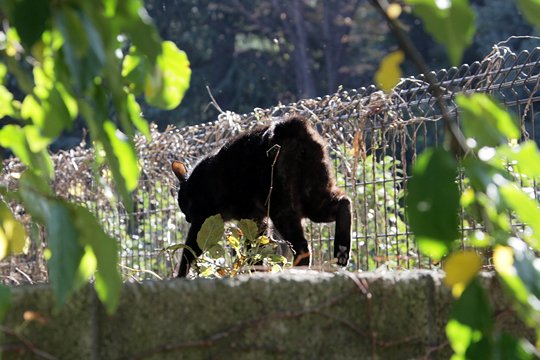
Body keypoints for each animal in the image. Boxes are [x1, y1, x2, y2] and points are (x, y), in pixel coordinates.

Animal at [171, 116, 352, 278]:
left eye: (183, 205)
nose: (187, 218)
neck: (194, 183)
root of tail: (290, 123)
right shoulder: (257, 219)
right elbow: (255, 249)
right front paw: (257, 271)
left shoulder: (202, 219)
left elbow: (189, 251)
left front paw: (180, 277)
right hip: (313, 198)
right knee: (344, 202)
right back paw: (342, 251)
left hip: (283, 208)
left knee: (302, 248)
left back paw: (296, 271)